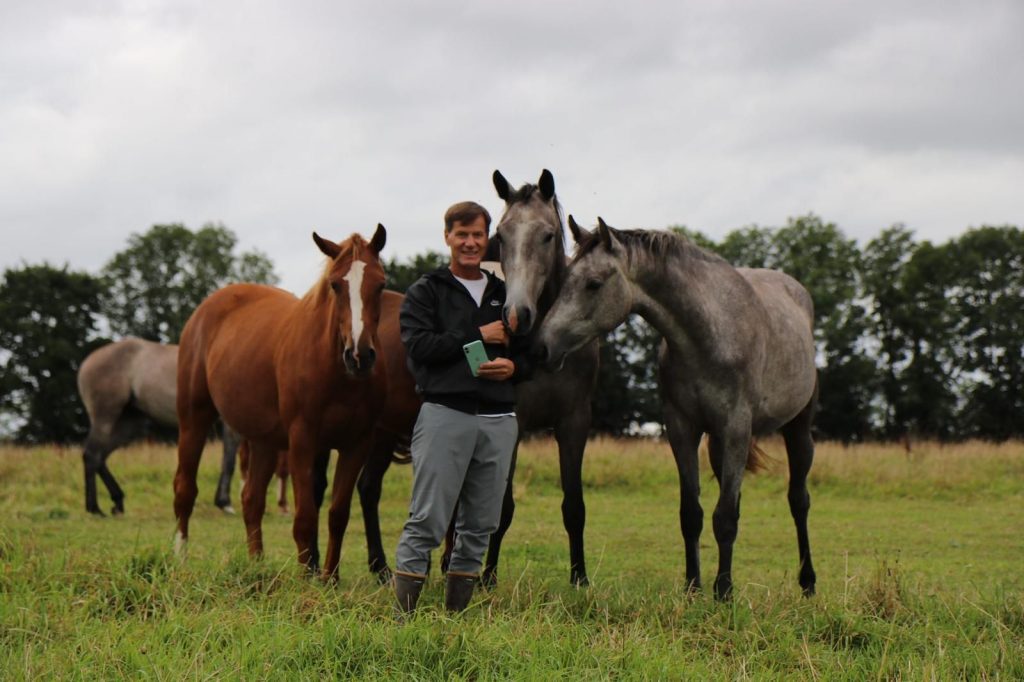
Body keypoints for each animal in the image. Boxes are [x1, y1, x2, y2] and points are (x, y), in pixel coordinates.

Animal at [76, 333, 240, 516]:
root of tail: (88, 361)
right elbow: (229, 461)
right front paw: (225, 503)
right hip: (105, 419)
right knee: (92, 455)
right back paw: (95, 508)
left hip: (129, 425)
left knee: (100, 457)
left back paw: (117, 502)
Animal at [173, 225, 387, 577]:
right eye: (335, 284)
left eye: (381, 284)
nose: (359, 356)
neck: (335, 370)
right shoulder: (302, 440)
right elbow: (305, 518)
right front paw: (307, 580)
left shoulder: (357, 444)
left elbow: (338, 515)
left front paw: (330, 578)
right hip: (194, 419)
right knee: (184, 489)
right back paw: (181, 556)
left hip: (263, 440)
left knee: (251, 500)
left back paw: (256, 566)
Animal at [536, 219, 815, 602]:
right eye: (563, 281)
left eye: (593, 284)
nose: (540, 348)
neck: (709, 335)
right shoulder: (682, 429)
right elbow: (692, 514)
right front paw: (693, 587)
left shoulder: (735, 429)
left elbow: (725, 517)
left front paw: (724, 592)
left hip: (798, 428)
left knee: (798, 501)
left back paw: (808, 582)